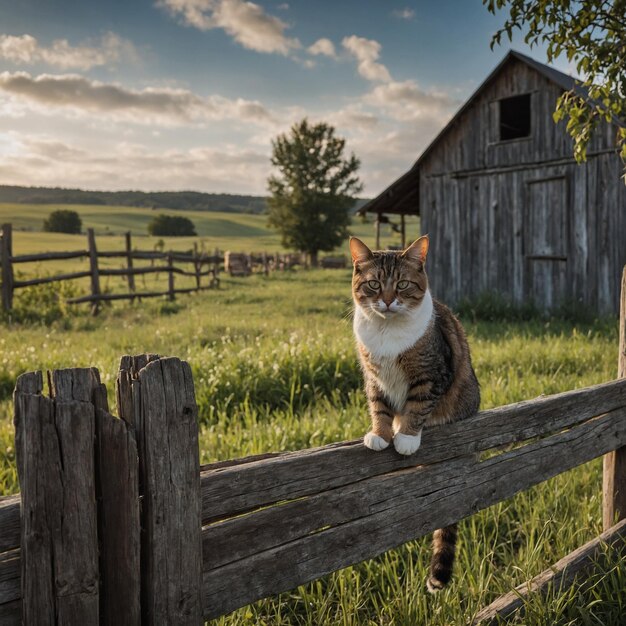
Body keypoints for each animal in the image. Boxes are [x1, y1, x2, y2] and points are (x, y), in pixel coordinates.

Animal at [346, 234, 478, 588]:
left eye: (403, 284)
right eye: (375, 284)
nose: (389, 301)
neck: (387, 332)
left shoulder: (432, 373)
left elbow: (417, 405)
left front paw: (405, 436)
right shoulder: (373, 378)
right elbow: (378, 406)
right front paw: (380, 434)